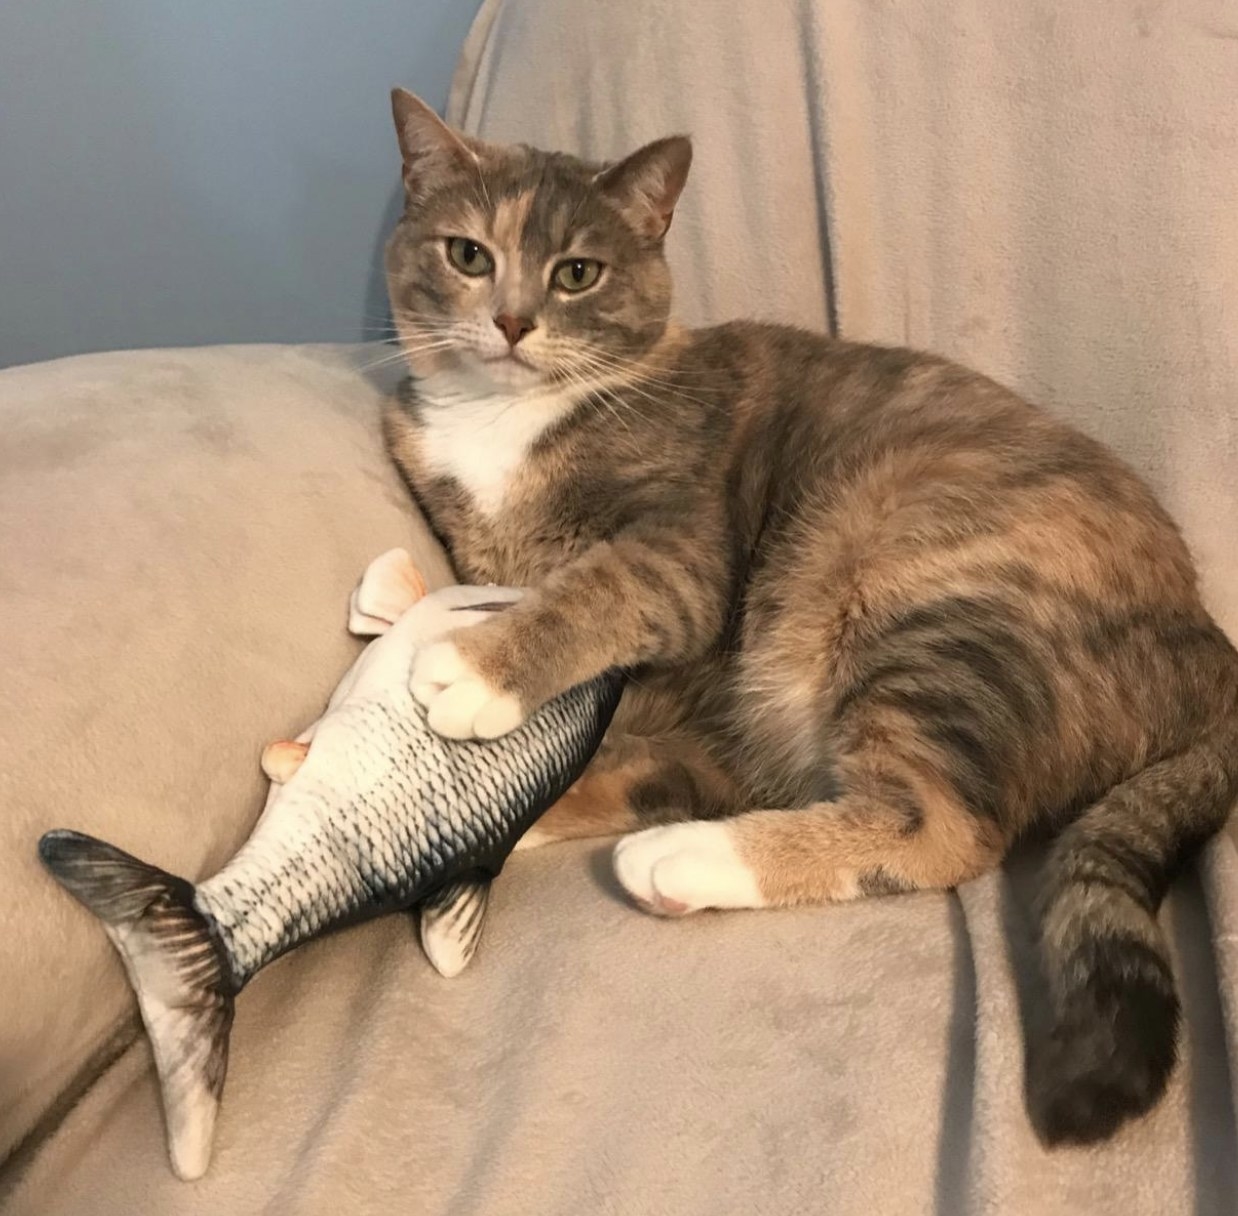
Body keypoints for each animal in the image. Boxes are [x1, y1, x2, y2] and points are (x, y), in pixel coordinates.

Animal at [378, 90, 1238, 1149]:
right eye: (468, 254)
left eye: (577, 272)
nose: (510, 320)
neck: (503, 428)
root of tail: (1208, 640)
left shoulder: (681, 557)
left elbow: (594, 591)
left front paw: (475, 670)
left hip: (924, 601)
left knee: (939, 828)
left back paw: (685, 859)